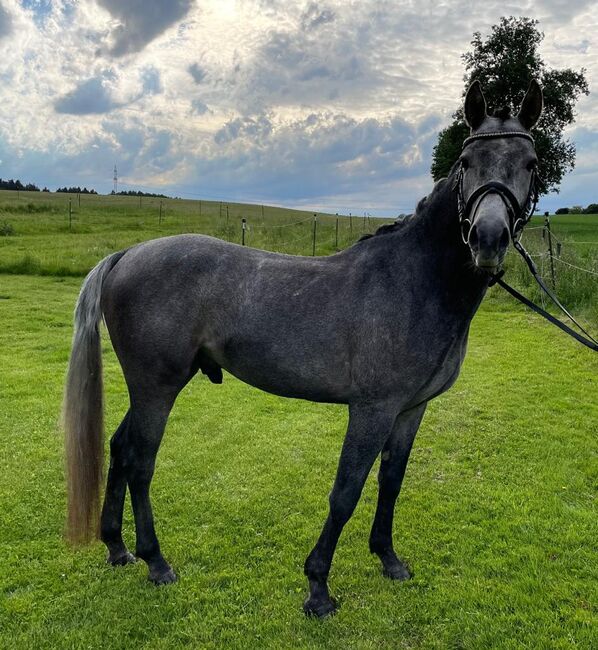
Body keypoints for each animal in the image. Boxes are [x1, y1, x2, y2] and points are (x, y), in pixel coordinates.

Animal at [64, 78, 544, 616]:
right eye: (466, 162)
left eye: (530, 163)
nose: (488, 238)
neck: (414, 280)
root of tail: (127, 254)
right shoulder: (372, 410)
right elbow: (346, 492)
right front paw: (318, 588)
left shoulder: (410, 409)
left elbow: (391, 482)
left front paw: (389, 559)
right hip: (157, 389)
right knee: (141, 461)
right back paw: (156, 561)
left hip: (152, 388)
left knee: (120, 448)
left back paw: (117, 547)